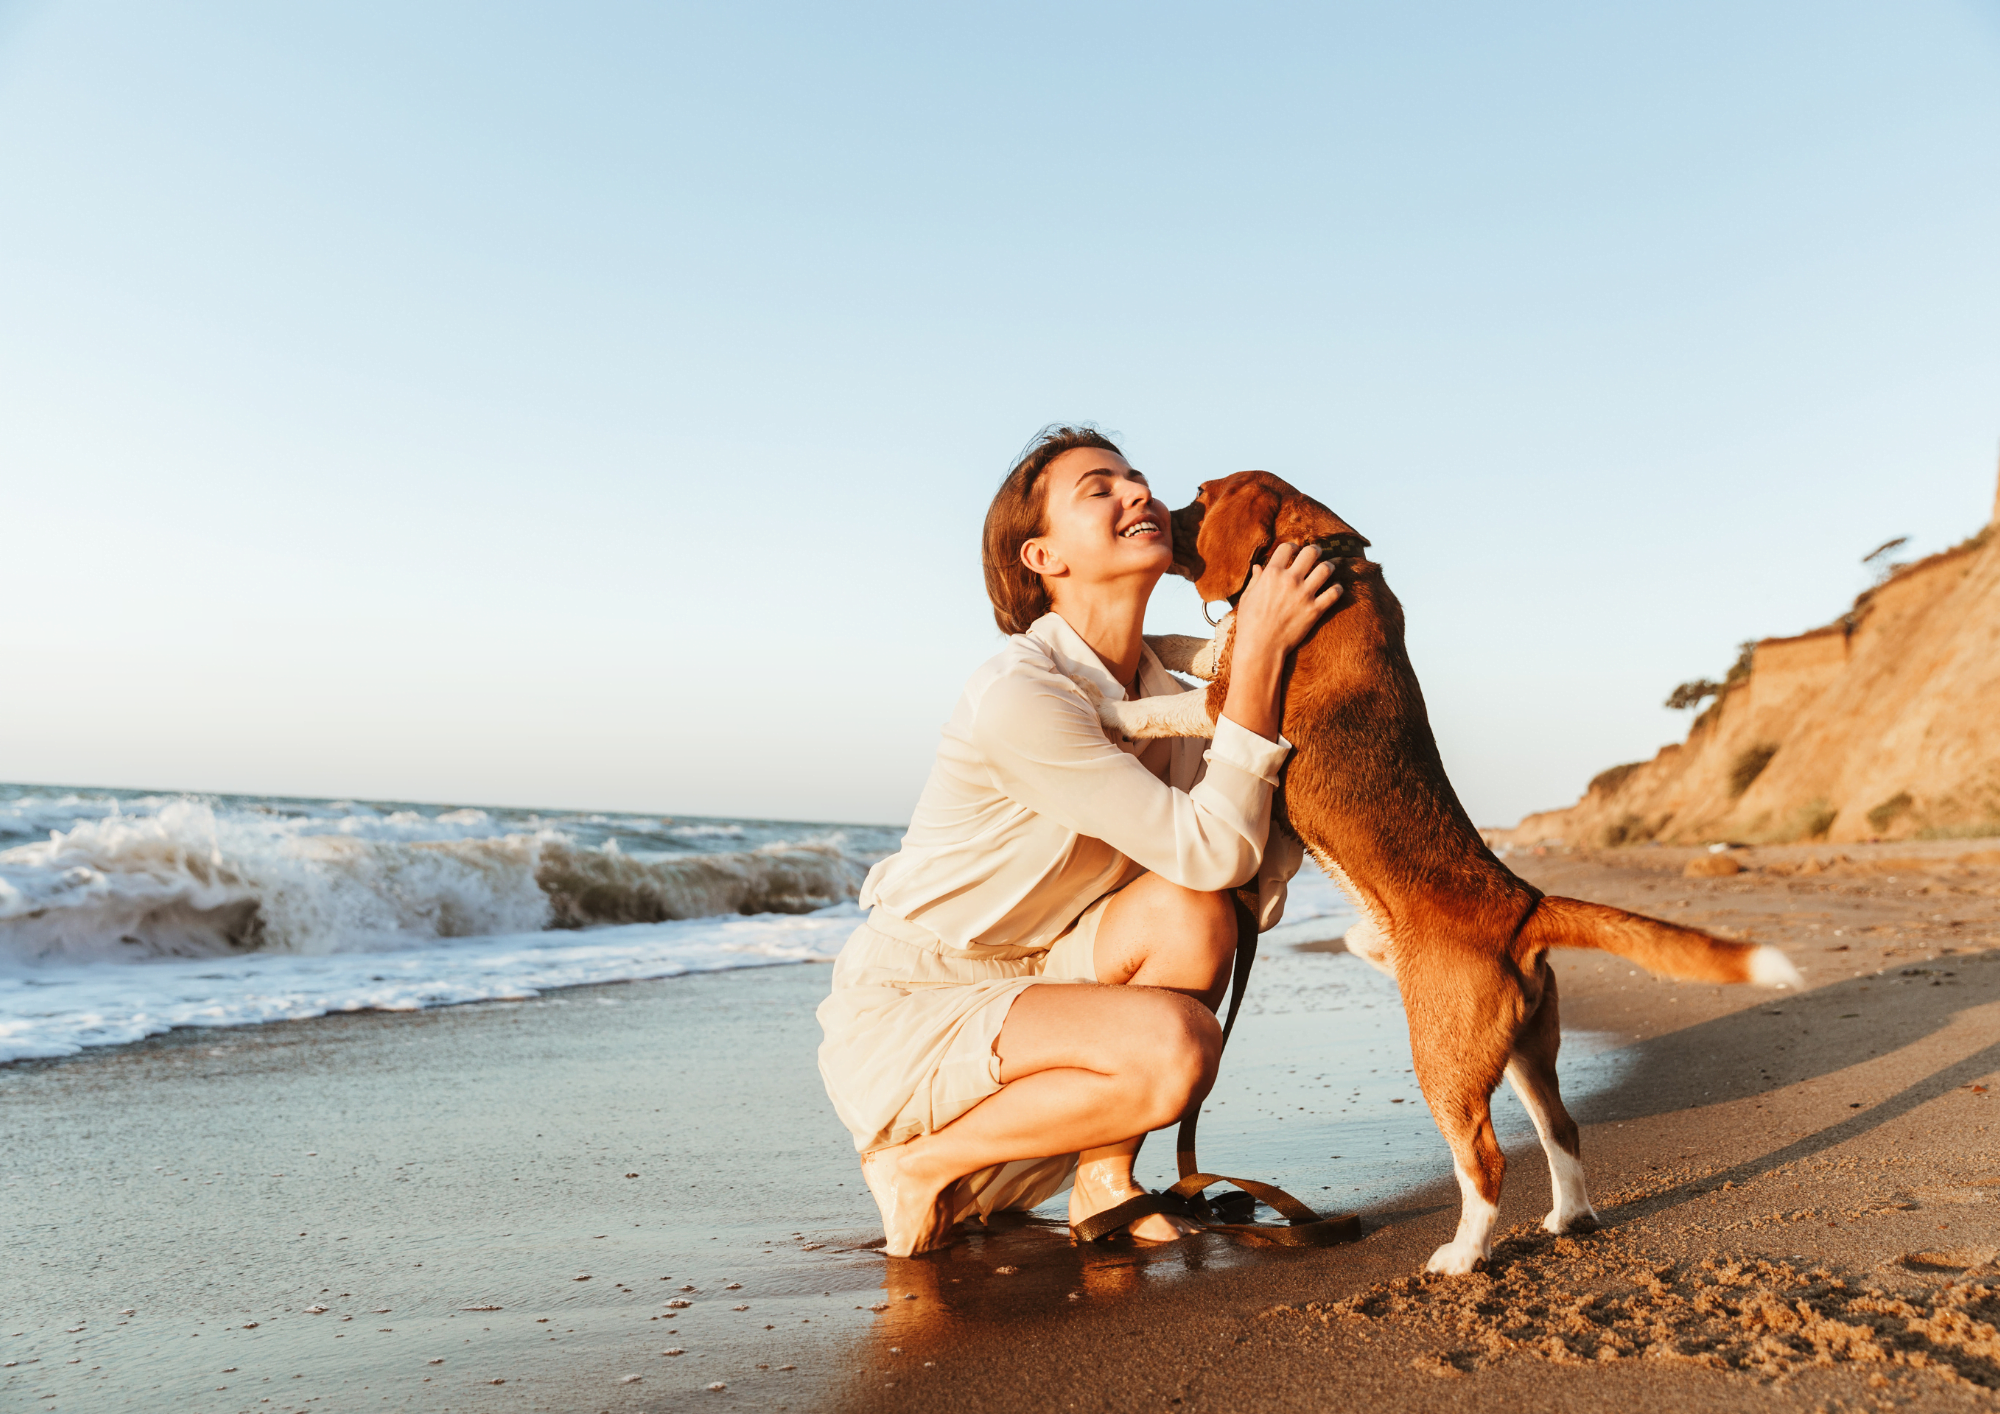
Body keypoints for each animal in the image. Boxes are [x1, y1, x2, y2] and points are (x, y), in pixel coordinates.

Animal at [1072, 470, 1808, 1280]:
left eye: (1198, 498)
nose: (1153, 520)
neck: (1329, 554)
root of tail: (1522, 904)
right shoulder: (1225, 665)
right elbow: (1191, 645)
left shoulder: (1224, 702)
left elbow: (1165, 701)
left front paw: (1110, 705)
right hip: (1525, 1052)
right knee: (1562, 1129)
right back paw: (1568, 1216)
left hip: (1443, 1058)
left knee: (1485, 1160)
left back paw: (1463, 1254)